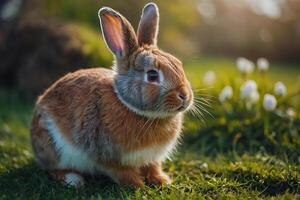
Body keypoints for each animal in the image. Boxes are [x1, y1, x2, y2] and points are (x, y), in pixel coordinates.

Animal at [30, 2, 193, 188]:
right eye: (152, 75)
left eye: (178, 64)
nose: (184, 96)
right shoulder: (108, 157)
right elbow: (122, 173)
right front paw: (137, 185)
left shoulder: (152, 158)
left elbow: (153, 167)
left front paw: (162, 180)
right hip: (52, 147)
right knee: (51, 169)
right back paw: (73, 179)